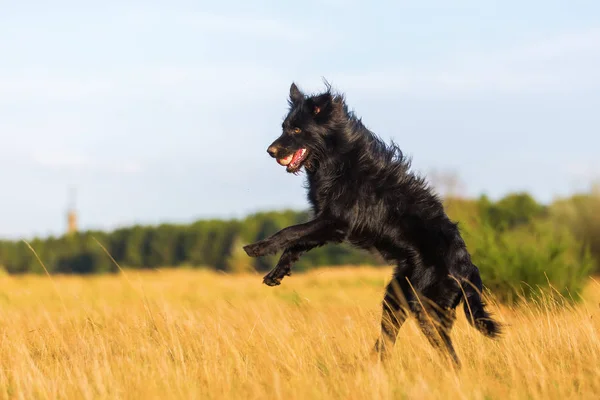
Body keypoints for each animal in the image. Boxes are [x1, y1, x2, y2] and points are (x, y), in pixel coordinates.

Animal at [244, 80, 502, 366]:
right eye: (284, 127)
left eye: (297, 129)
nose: (270, 151)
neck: (336, 160)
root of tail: (468, 269)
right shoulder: (325, 224)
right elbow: (296, 243)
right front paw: (277, 272)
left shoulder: (334, 222)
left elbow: (289, 232)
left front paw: (258, 248)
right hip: (396, 297)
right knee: (389, 339)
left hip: (425, 309)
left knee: (449, 354)